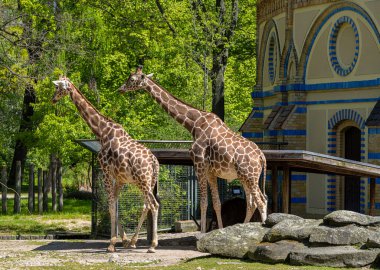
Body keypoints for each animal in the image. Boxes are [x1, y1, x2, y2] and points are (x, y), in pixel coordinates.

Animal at [52, 76, 160, 253]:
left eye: (58, 87)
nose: (53, 99)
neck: (102, 132)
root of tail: (153, 161)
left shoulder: (105, 171)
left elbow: (110, 206)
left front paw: (111, 243)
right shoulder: (120, 178)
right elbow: (114, 204)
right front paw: (123, 240)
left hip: (143, 180)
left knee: (154, 205)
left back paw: (152, 245)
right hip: (148, 181)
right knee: (146, 205)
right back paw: (134, 241)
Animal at [119, 67, 268, 232]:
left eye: (132, 79)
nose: (121, 89)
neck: (194, 124)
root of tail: (262, 156)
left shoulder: (199, 163)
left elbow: (203, 203)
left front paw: (202, 233)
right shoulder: (211, 171)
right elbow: (216, 203)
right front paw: (220, 230)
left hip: (250, 176)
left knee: (261, 201)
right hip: (245, 177)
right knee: (252, 203)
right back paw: (244, 227)